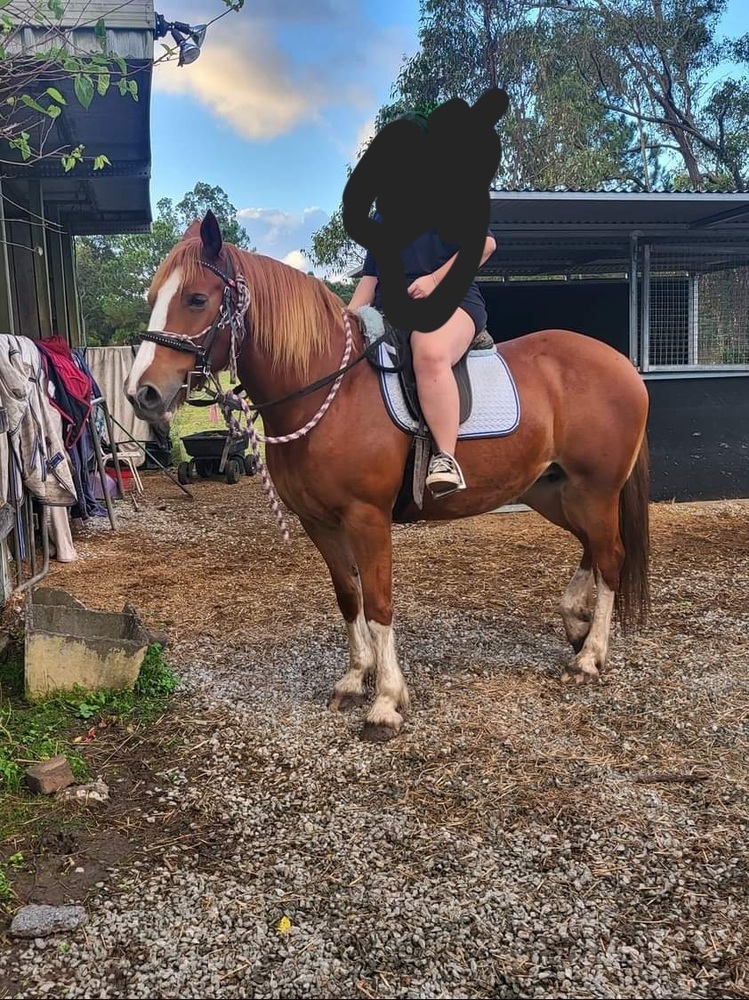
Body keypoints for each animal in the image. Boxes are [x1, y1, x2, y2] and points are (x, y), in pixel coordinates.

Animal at [125, 211, 651, 742]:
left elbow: (378, 603)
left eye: (196, 298)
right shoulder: (321, 523)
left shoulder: (367, 519)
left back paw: (590, 657)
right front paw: (355, 679)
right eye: (152, 297)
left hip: (593, 489)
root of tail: (620, 362)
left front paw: (385, 702)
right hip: (554, 491)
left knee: (611, 557)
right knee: (592, 549)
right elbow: (349, 598)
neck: (328, 392)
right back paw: (576, 626)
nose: (141, 393)